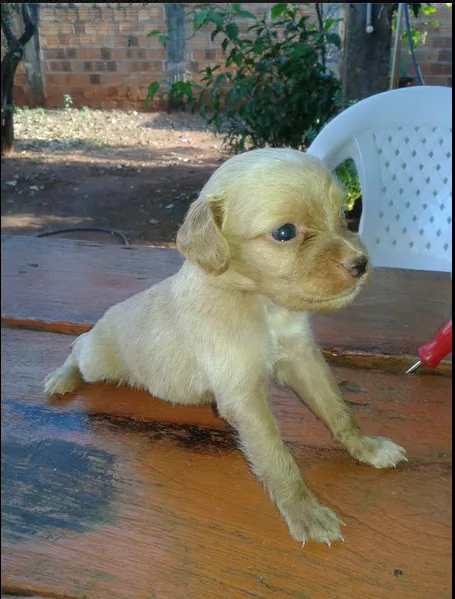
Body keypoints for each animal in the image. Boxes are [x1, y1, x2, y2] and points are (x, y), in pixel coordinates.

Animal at [44, 148, 408, 548]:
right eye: (285, 233)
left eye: (343, 215)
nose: (361, 264)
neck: (262, 304)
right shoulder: (243, 397)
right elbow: (277, 457)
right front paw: (305, 511)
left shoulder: (304, 359)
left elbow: (338, 411)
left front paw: (366, 447)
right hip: (98, 360)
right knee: (78, 346)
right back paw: (61, 377)